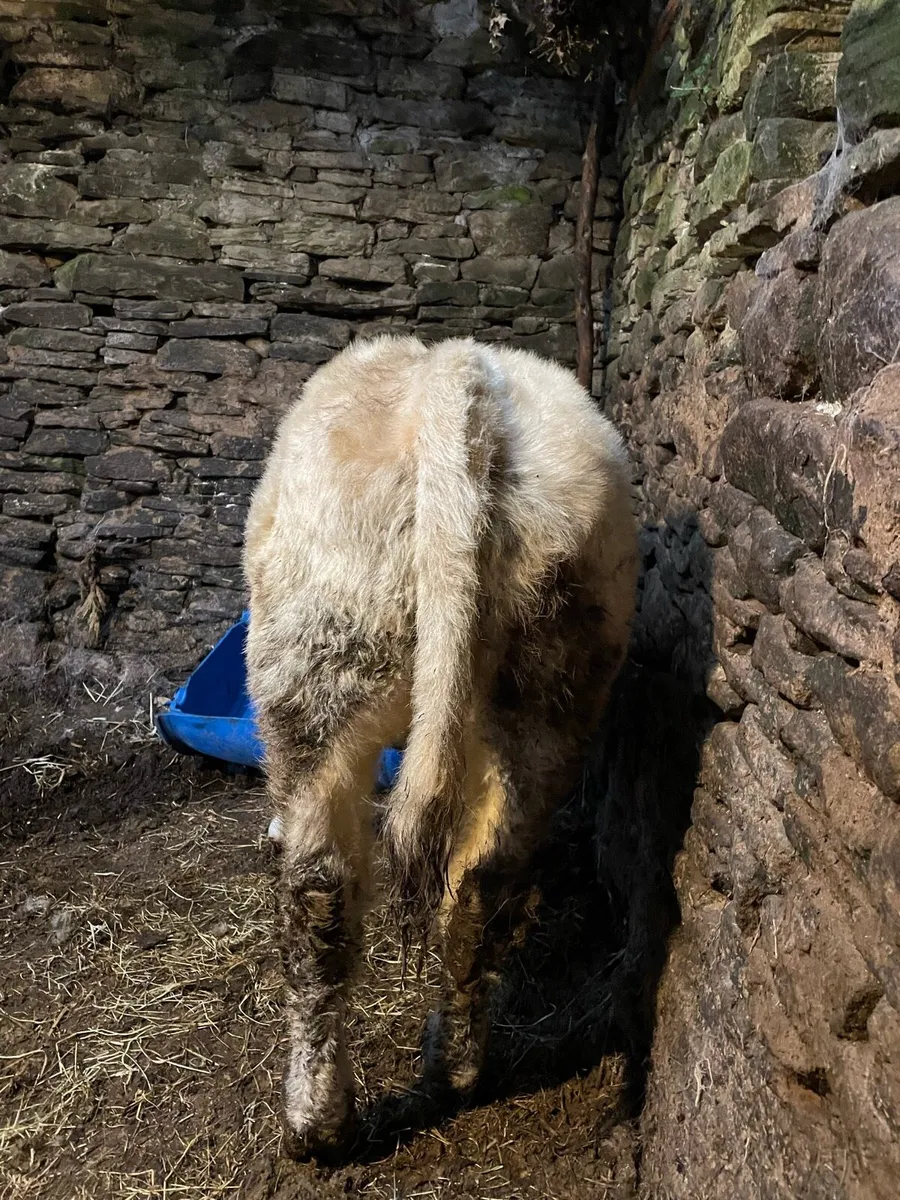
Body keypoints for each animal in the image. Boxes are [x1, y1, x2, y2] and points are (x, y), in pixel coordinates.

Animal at [243, 334, 638, 1161]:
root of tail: (454, 377)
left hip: (317, 663)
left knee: (319, 892)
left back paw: (315, 1124)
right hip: (553, 673)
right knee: (482, 882)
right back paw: (453, 1068)